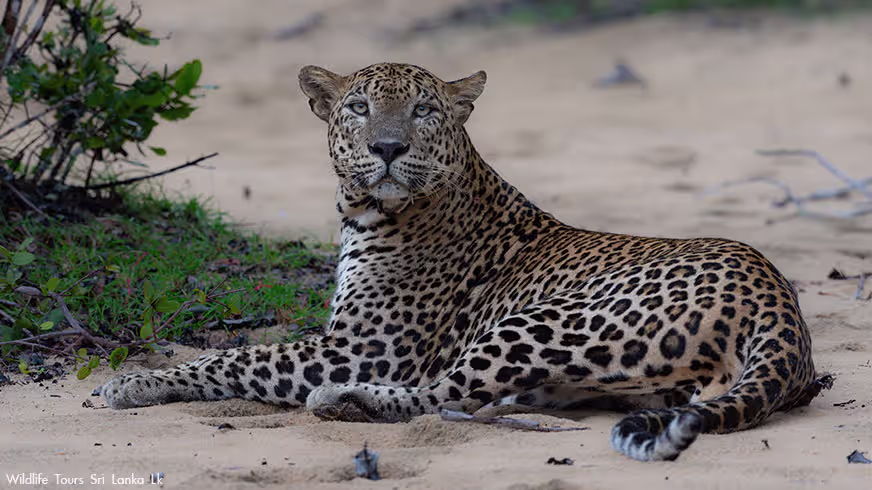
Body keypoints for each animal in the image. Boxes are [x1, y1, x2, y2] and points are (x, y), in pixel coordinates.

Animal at [100, 62, 819, 461]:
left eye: (423, 109)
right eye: (358, 107)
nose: (388, 148)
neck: (370, 210)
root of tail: (779, 300)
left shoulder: (368, 347)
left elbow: (234, 359)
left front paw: (131, 384)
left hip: (547, 320)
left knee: (449, 392)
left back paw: (342, 400)